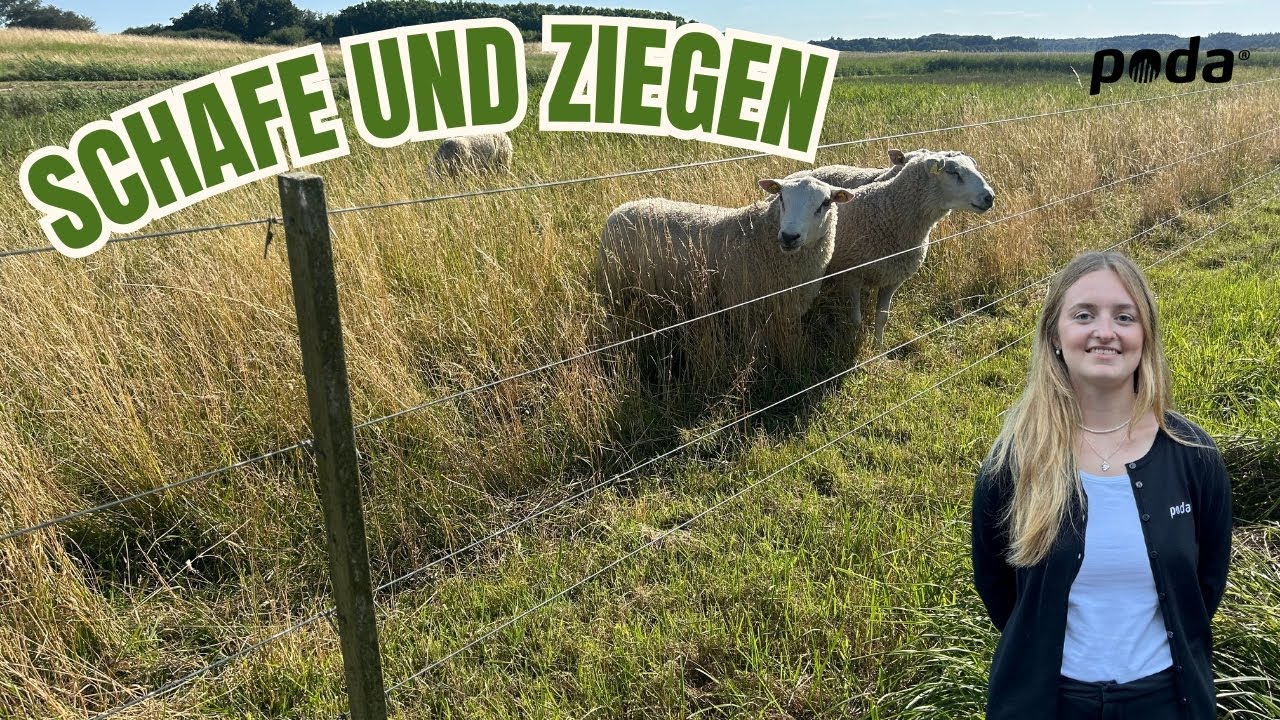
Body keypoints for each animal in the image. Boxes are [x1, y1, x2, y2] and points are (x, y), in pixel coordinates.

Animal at [597, 176, 854, 331]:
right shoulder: (739, 305)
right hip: (615, 282)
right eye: (781, 197)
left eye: (826, 203)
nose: (789, 236)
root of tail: (622, 208)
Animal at [820, 150, 996, 350]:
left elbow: (882, 318)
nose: (990, 197)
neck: (887, 212)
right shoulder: (851, 276)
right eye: (953, 172)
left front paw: (879, 348)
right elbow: (856, 320)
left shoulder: (892, 278)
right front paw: (856, 345)